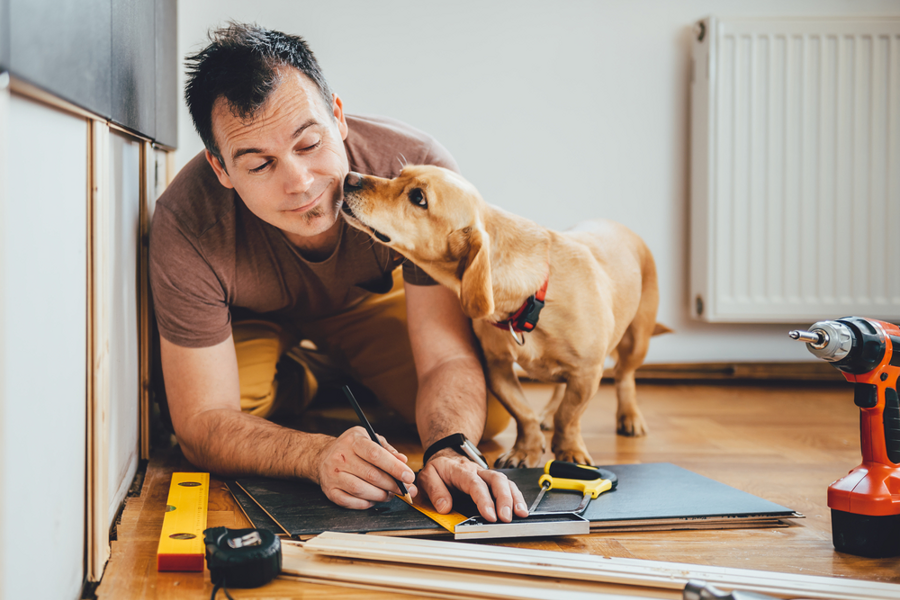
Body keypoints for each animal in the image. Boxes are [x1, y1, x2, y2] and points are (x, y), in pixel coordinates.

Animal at [342, 165, 672, 468]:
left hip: (636, 341)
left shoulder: (588, 373)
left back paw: (629, 417)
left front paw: (569, 451)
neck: (534, 297)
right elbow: (523, 413)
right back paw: (548, 414)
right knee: (558, 388)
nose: (349, 178)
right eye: (399, 174)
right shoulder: (497, 367)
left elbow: (569, 416)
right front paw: (526, 449)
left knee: (624, 376)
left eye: (418, 198)